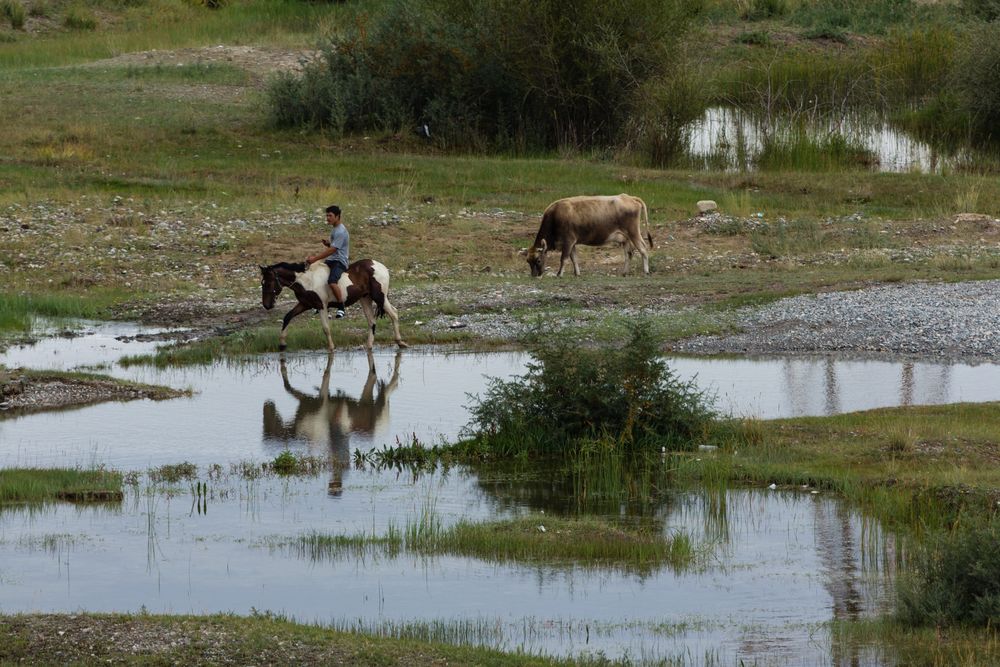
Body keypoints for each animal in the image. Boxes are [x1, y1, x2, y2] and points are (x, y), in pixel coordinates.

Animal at [264, 258, 412, 360]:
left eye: (269, 283)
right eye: (263, 283)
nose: (266, 305)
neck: (307, 280)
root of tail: (381, 267)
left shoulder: (321, 305)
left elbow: (326, 328)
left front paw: (331, 349)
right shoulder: (304, 304)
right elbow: (288, 316)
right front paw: (282, 344)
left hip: (379, 296)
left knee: (393, 313)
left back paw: (400, 342)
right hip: (365, 298)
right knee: (372, 321)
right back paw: (369, 346)